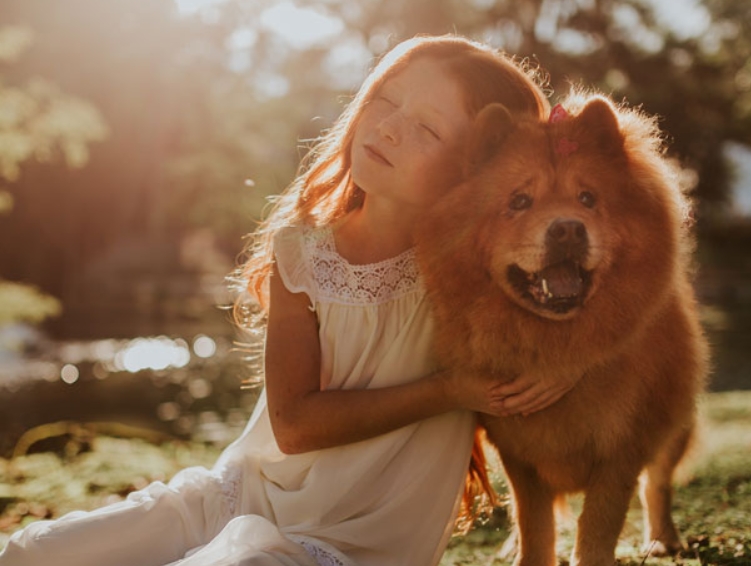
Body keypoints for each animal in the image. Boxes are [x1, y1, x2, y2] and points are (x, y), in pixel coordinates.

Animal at [418, 94, 712, 566]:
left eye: (587, 198)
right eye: (520, 200)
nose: (568, 228)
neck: (555, 341)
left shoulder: (623, 449)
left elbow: (598, 525)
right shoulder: (518, 453)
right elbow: (534, 522)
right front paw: (529, 553)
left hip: (673, 419)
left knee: (658, 482)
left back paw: (663, 539)